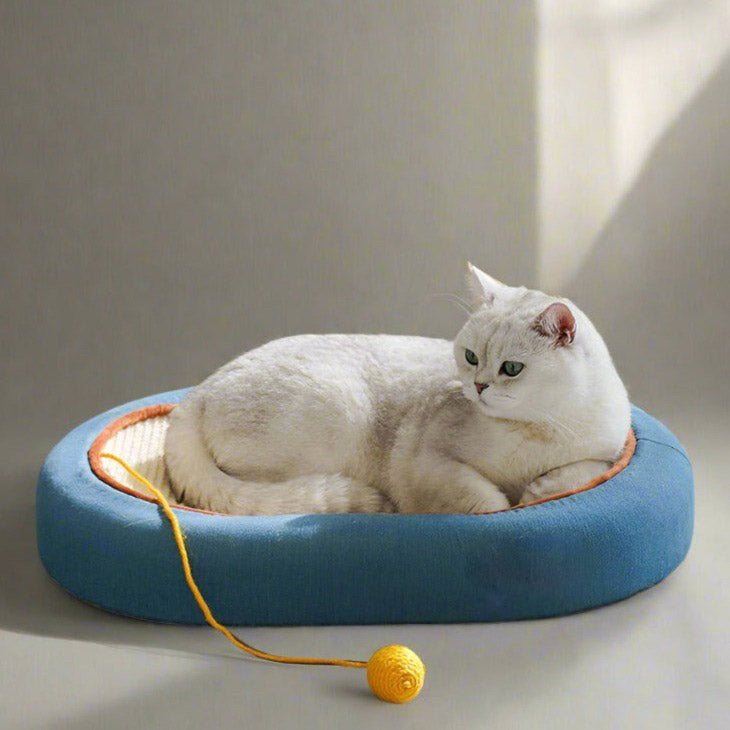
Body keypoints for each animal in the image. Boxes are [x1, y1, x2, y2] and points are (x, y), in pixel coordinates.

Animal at [162, 264, 628, 516]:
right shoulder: (428, 462)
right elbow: (484, 499)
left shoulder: (608, 447)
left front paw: (540, 490)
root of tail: (196, 394)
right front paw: (512, 502)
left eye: (511, 368)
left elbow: (584, 469)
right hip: (335, 413)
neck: (538, 429)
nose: (477, 386)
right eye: (471, 357)